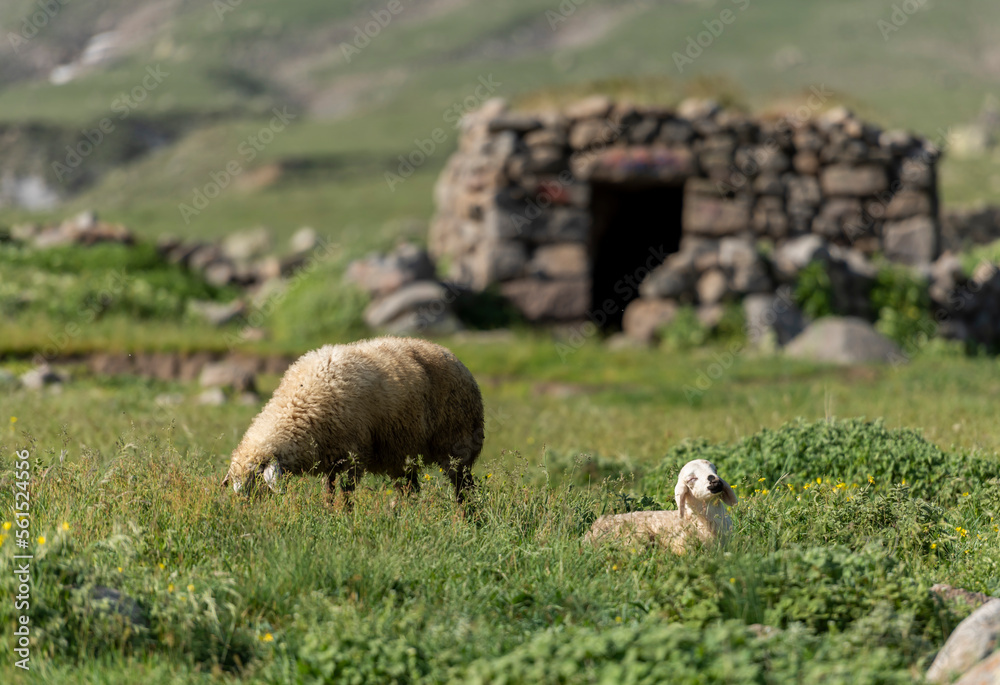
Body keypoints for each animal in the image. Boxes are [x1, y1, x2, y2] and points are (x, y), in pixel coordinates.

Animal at [222, 336, 485, 505]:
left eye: (256, 483)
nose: (248, 514)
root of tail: (449, 353)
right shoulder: (330, 458)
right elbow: (328, 492)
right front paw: (328, 516)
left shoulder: (353, 456)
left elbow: (346, 495)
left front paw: (343, 519)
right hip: (403, 453)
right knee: (410, 491)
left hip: (458, 444)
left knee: (464, 491)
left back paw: (468, 522)